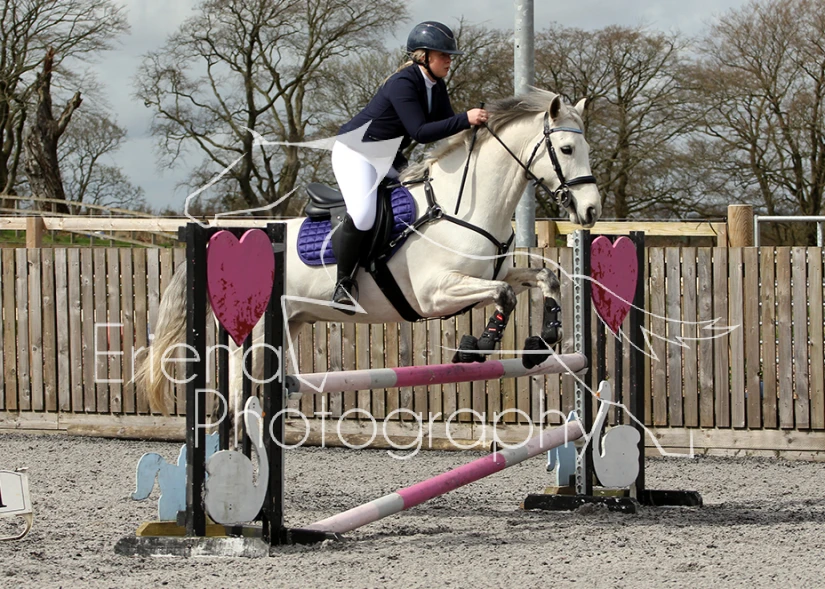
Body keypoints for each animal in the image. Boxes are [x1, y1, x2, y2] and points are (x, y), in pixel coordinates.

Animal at [137, 89, 602, 418]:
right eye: (565, 150)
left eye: (587, 149)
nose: (591, 211)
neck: (465, 204)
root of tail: (224, 238)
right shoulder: (436, 293)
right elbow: (504, 296)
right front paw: (478, 346)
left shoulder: (489, 274)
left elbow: (543, 277)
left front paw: (544, 339)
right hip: (251, 330)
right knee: (237, 391)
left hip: (292, 319)